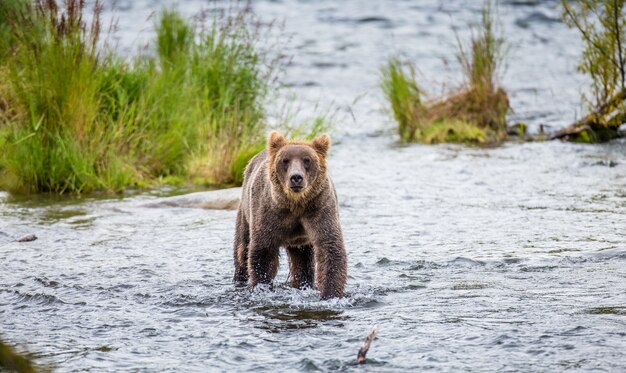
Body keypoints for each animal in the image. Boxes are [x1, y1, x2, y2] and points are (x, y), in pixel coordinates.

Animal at [232, 131, 346, 300]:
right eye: (285, 160)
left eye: (307, 160)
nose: (296, 177)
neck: (295, 203)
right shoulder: (269, 211)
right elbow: (262, 251)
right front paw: (262, 288)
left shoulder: (319, 206)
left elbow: (330, 247)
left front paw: (330, 294)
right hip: (245, 211)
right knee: (242, 248)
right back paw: (239, 279)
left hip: (300, 241)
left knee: (303, 262)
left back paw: (303, 284)